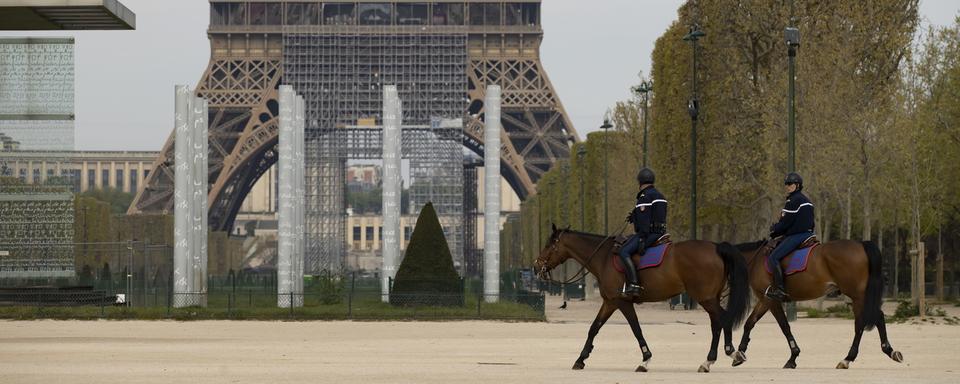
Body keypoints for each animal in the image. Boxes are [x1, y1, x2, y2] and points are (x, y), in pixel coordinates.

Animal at [532, 225, 752, 372]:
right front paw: (581, 359)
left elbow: (636, 328)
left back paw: (727, 354)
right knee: (718, 323)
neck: (604, 257)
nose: (536, 266)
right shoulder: (610, 302)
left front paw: (645, 359)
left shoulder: (622, 302)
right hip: (710, 298)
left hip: (706, 298)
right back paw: (716, 358)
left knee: (722, 320)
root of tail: (716, 246)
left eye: (549, 245)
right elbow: (594, 328)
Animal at [732, 240, 904, 368]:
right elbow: (752, 323)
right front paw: (739, 354)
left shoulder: (770, 300)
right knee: (877, 318)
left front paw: (792, 357)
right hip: (860, 297)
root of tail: (861, 244)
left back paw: (847, 359)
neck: (756, 260)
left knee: (862, 323)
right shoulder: (766, 300)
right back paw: (890, 351)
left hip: (858, 296)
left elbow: (782, 326)